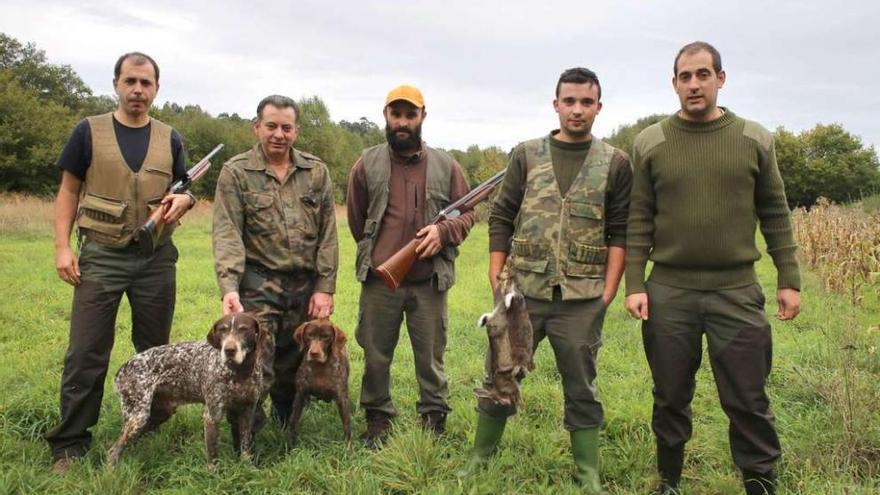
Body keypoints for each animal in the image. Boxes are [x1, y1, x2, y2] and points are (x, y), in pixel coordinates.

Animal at [106, 314, 272, 468]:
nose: (229, 350)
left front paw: (248, 467)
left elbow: (245, 447)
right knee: (113, 451)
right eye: (222, 330)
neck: (240, 372)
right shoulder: (212, 416)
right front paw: (214, 475)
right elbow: (212, 455)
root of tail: (122, 369)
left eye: (243, 329)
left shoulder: (247, 412)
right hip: (138, 417)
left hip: (158, 414)